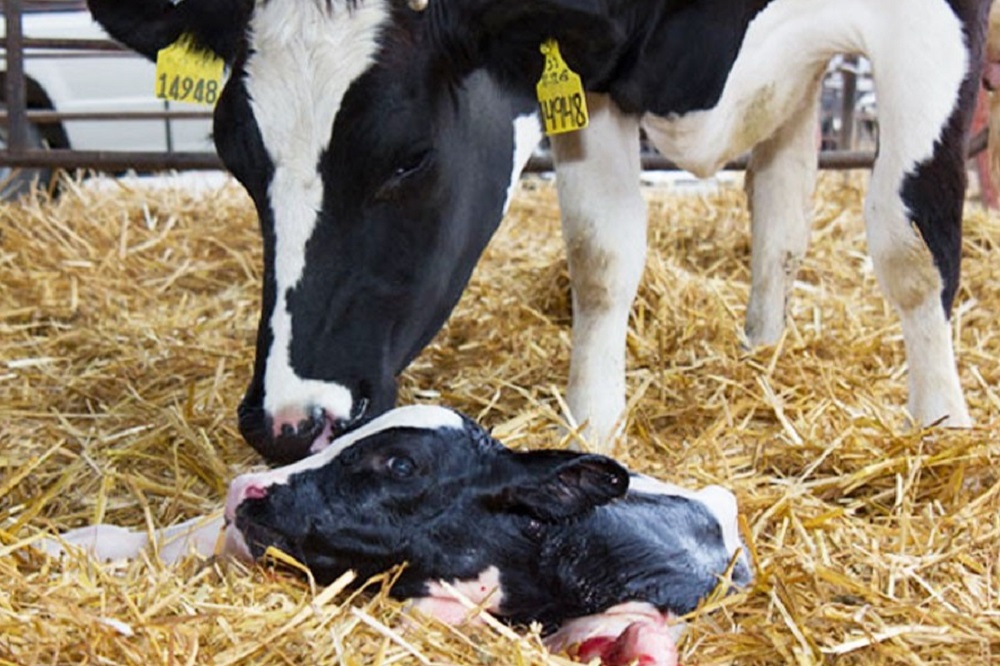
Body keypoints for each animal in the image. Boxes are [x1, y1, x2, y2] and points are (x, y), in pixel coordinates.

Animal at [90, 0, 988, 462]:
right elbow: (601, 253)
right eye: (233, 154)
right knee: (781, 208)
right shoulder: (593, 72)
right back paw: (762, 354)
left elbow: (911, 244)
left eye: (409, 157)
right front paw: (593, 425)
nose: (287, 421)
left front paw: (941, 431)